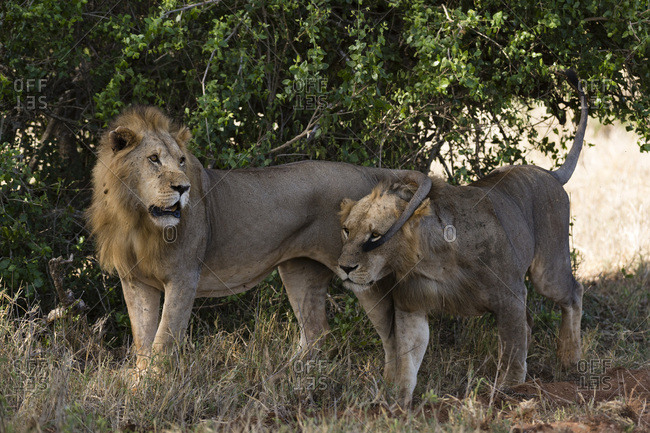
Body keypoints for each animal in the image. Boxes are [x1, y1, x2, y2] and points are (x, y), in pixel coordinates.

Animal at [88, 105, 431, 373]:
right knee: (316, 331)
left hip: (363, 274)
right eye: (153, 159)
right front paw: (138, 386)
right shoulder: (135, 281)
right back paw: (289, 376)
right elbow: (142, 341)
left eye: (182, 161)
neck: (137, 220)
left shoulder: (184, 275)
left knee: (392, 332)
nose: (183, 188)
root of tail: (368, 172)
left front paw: (151, 389)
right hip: (299, 270)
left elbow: (163, 341)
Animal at [336, 71, 588, 406]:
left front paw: (509, 391)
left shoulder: (510, 295)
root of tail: (548, 172)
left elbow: (511, 349)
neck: (429, 261)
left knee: (573, 292)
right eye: (347, 230)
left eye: (375, 235)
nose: (344, 268)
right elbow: (407, 359)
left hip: (548, 271)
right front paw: (398, 403)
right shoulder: (411, 306)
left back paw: (569, 358)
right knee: (531, 321)